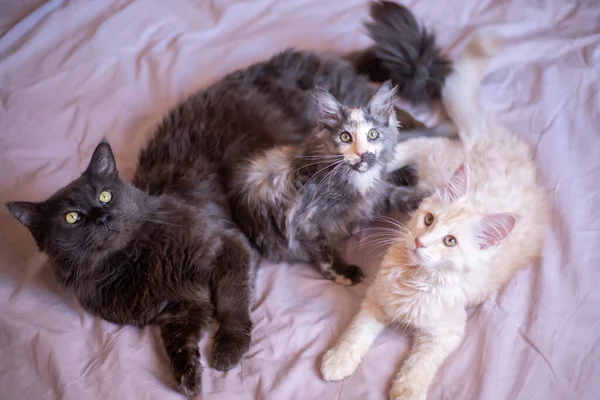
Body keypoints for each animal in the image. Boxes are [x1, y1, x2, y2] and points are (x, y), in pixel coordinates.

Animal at [7, 141, 255, 396]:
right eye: (72, 217)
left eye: (105, 196)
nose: (102, 217)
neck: (135, 260)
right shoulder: (181, 308)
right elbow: (176, 342)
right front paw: (188, 375)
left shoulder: (228, 244)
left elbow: (231, 302)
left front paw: (228, 347)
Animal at [322, 35, 552, 400]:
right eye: (428, 220)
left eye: (450, 241)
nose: (419, 241)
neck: (416, 278)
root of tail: (494, 140)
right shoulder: (377, 297)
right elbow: (356, 332)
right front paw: (339, 359)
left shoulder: (446, 332)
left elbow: (422, 363)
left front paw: (407, 390)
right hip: (436, 156)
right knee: (406, 148)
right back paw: (365, 168)